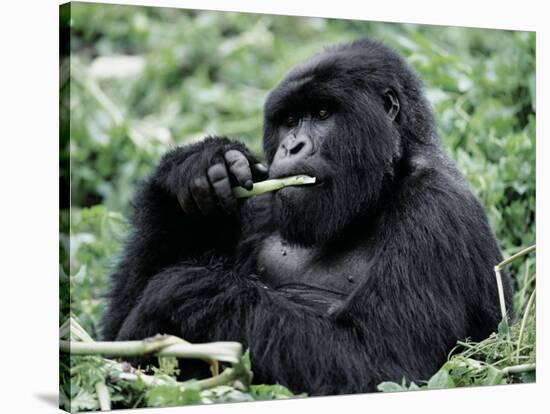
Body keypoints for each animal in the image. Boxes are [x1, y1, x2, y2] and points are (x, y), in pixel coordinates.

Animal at [101, 40, 516, 396]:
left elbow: (384, 364)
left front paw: (183, 292)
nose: (292, 146)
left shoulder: (436, 210)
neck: (380, 186)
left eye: (322, 114)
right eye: (288, 120)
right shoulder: (261, 195)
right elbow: (112, 333)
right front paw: (195, 167)